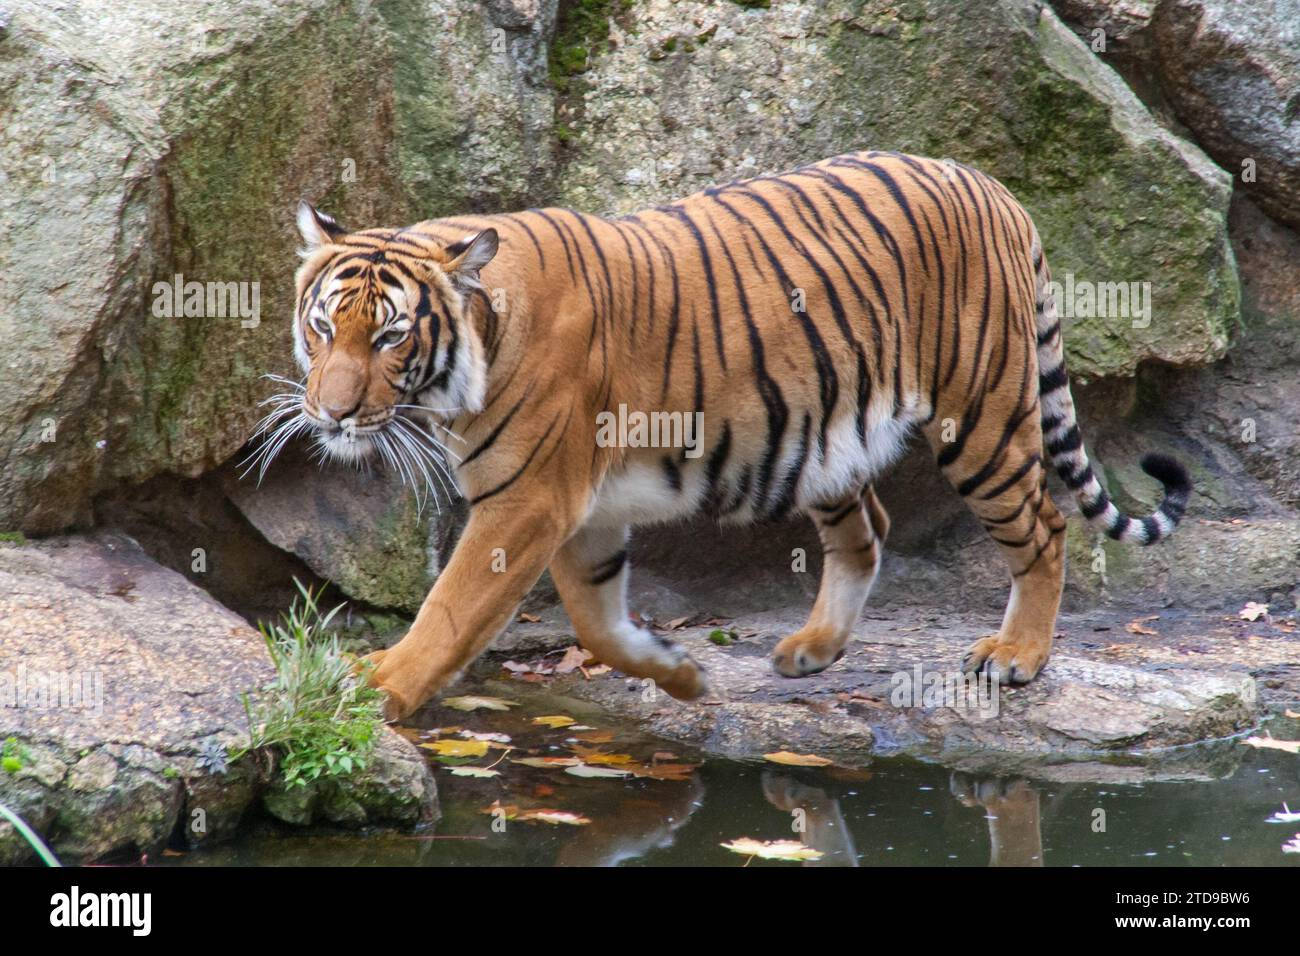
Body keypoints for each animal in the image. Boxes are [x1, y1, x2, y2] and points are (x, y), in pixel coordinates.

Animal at [271, 149, 1190, 717]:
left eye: (389, 338)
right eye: (322, 327)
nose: (332, 412)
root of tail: (998, 190)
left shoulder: (527, 502)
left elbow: (450, 609)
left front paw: (378, 687)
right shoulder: (582, 511)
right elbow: (596, 621)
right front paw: (679, 677)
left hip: (984, 422)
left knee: (1045, 527)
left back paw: (1018, 654)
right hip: (830, 438)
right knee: (868, 531)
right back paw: (813, 649)